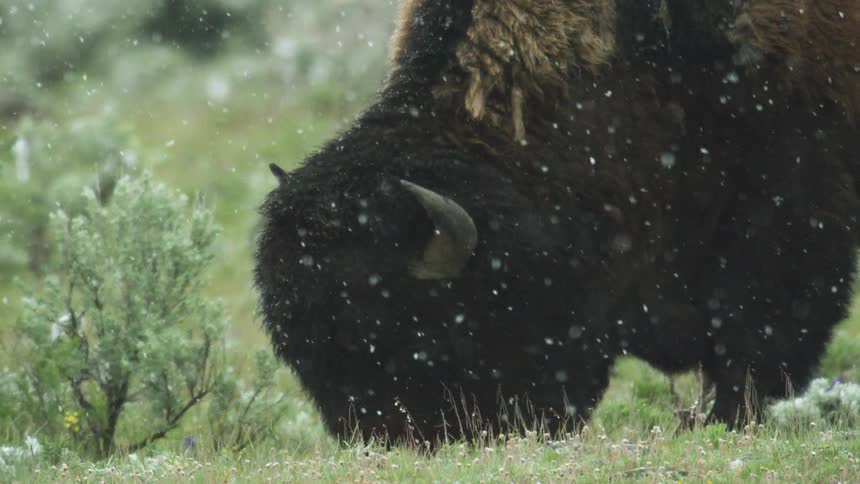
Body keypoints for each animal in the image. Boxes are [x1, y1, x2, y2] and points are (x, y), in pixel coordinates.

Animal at [255, 0, 860, 444]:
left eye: (416, 335)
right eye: (303, 354)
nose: (382, 442)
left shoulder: (787, 209)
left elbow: (755, 335)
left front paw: (727, 421)